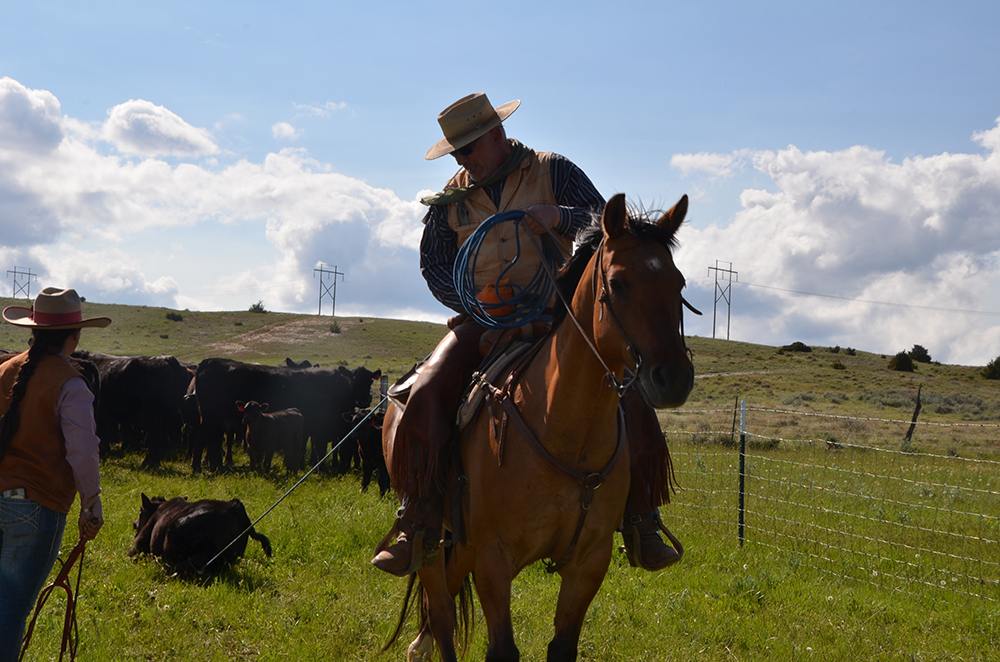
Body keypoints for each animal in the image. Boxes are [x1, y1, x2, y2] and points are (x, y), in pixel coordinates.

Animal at [191, 358, 380, 473]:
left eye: (370, 381)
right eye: (353, 380)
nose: (364, 400)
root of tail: (208, 362)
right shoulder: (320, 427)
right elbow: (320, 449)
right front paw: (321, 470)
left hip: (214, 419)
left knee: (213, 439)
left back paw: (215, 465)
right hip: (209, 417)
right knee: (201, 437)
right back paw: (197, 467)